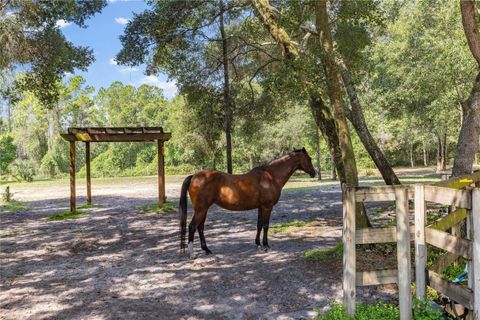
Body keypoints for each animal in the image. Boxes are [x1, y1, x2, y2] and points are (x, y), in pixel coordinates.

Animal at [178, 148, 316, 258]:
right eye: (309, 158)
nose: (314, 173)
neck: (271, 176)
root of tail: (194, 176)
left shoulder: (261, 207)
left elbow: (259, 225)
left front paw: (258, 244)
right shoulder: (267, 207)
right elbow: (266, 225)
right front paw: (266, 245)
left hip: (204, 209)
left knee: (200, 228)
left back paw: (207, 249)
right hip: (201, 209)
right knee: (192, 227)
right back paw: (192, 254)